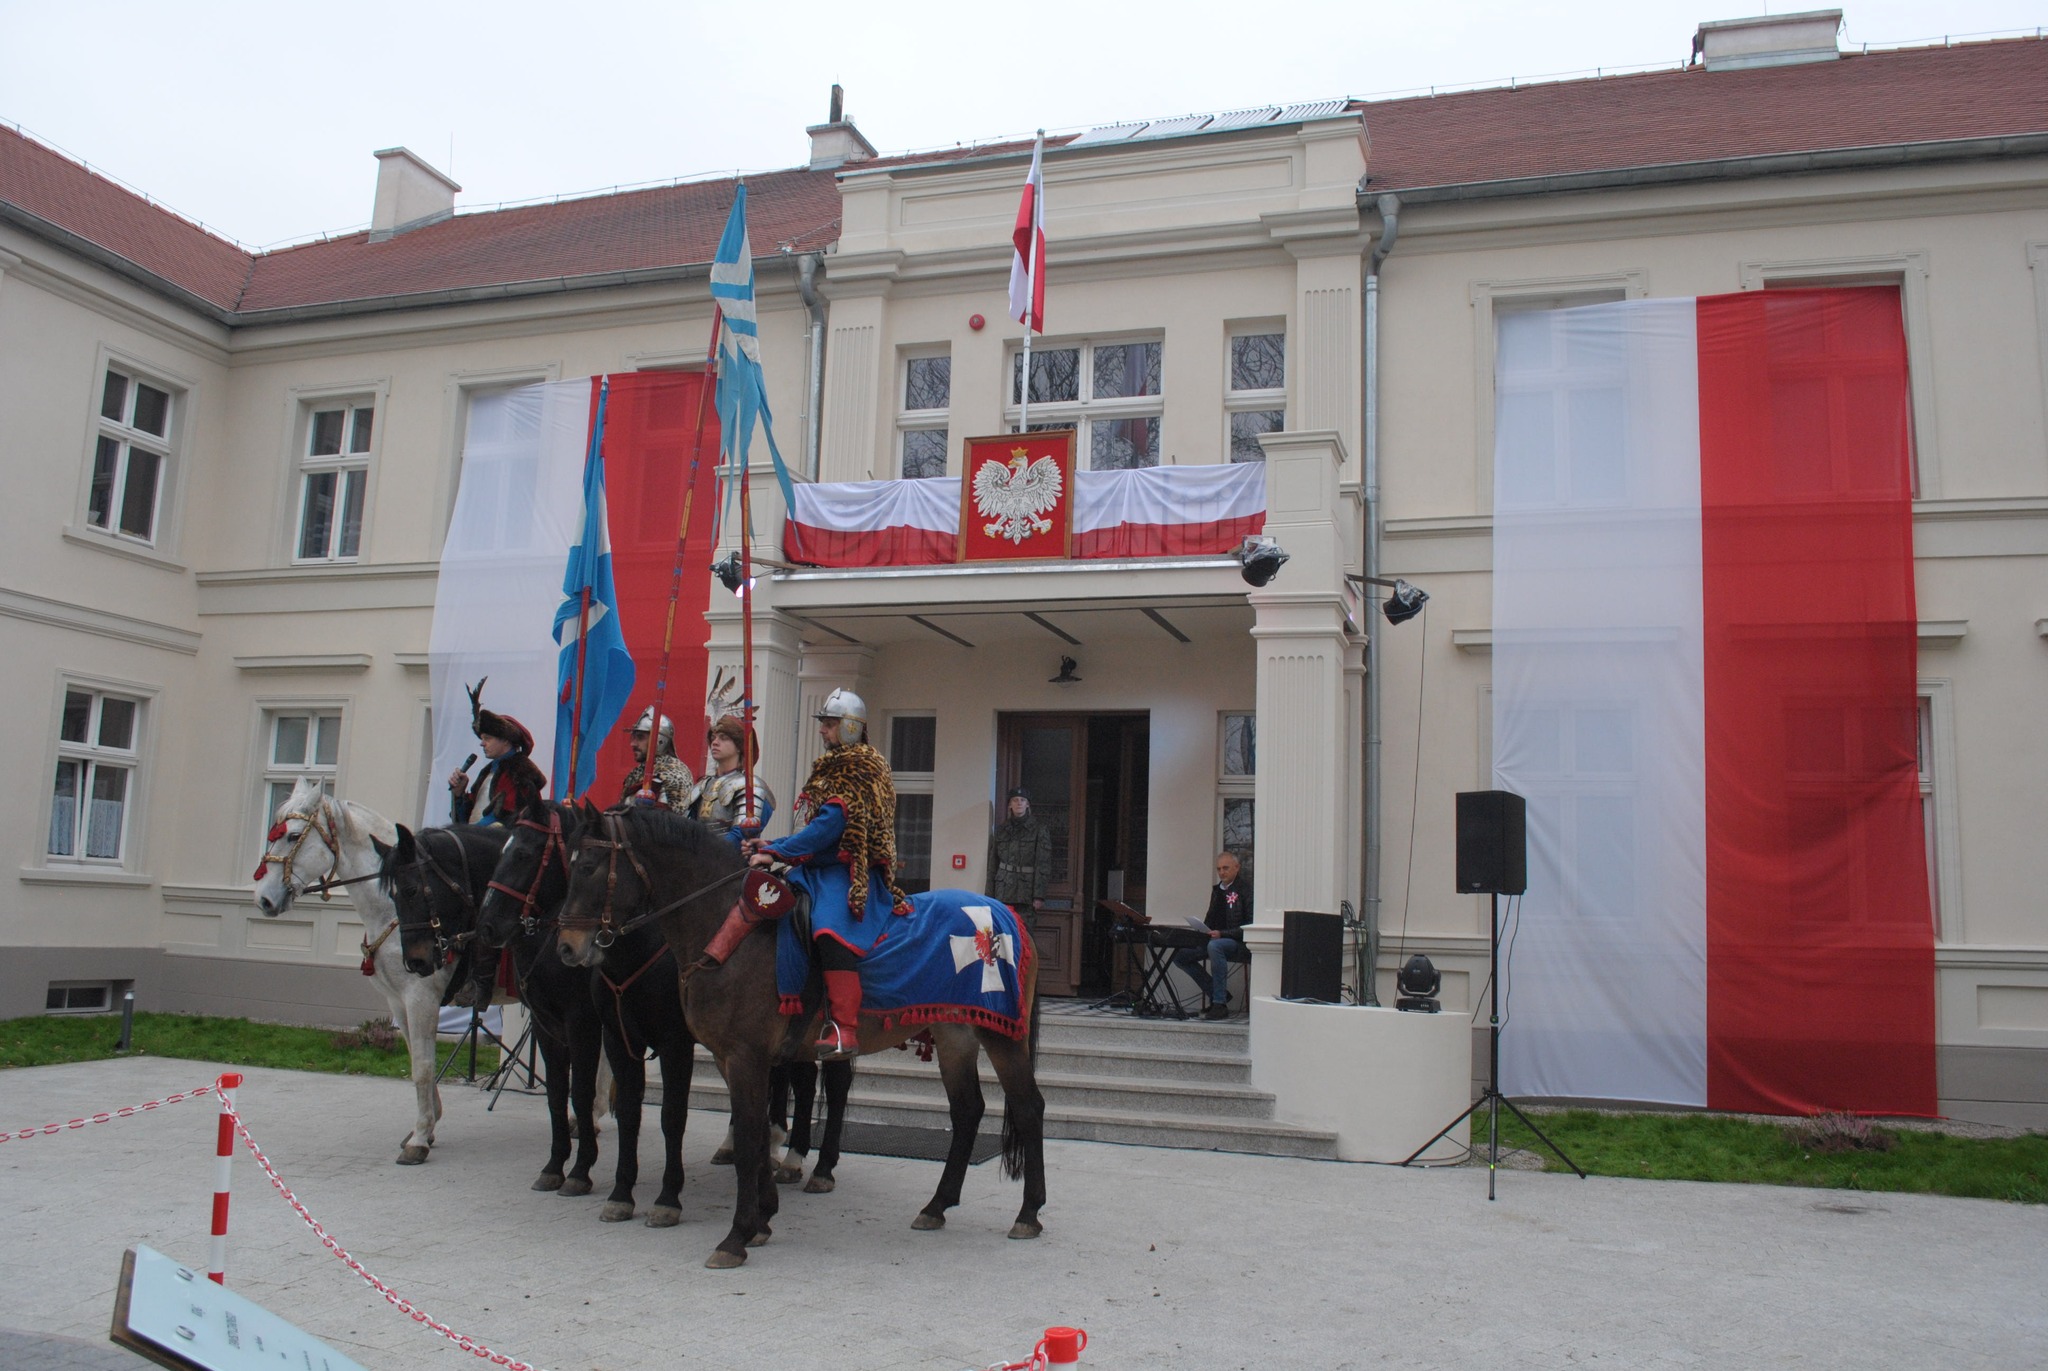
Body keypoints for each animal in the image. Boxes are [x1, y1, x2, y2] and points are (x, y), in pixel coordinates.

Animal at [252, 774, 452, 1164]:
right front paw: (428, 1124)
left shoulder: (422, 997)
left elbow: (422, 1067)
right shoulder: (398, 1002)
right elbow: (418, 1059)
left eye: (293, 836)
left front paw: (420, 1138)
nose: (263, 899)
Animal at [557, 807, 1048, 1270]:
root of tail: (1006, 915)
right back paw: (937, 1205)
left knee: (1027, 1107)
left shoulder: (743, 1056)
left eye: (590, 866)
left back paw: (1028, 1213)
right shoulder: (728, 1058)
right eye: (569, 863)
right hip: (954, 1035)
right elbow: (755, 1135)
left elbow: (749, 1136)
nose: (566, 947)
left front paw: (736, 1235)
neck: (729, 931)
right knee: (967, 1111)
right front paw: (761, 1219)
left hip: (1000, 1035)